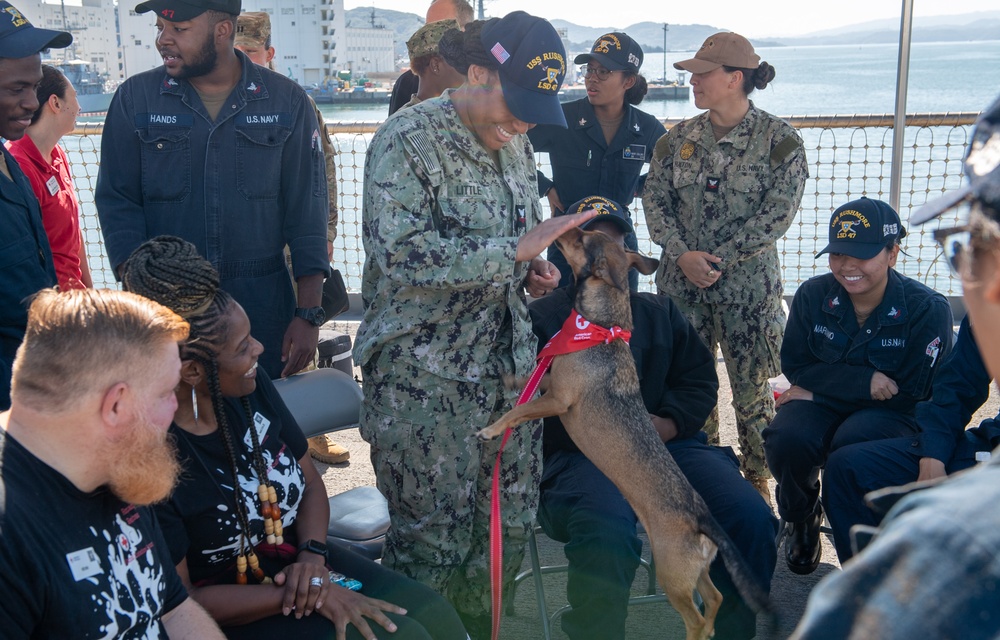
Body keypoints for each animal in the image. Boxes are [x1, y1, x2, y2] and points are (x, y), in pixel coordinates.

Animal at [476, 226, 772, 640]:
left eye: (581, 240)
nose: (566, 226)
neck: (598, 329)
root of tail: (703, 519)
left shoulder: (558, 399)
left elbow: (518, 409)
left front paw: (490, 429)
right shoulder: (550, 382)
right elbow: (526, 381)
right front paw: (506, 377)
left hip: (672, 574)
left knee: (697, 617)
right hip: (695, 573)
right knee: (714, 599)